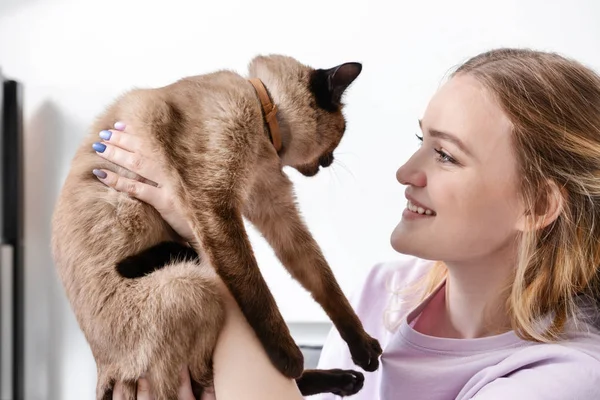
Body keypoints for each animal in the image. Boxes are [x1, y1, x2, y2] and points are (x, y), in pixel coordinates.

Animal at [50, 54, 380, 400]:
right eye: (341, 136)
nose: (329, 162)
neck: (264, 122)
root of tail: (104, 373)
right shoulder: (215, 204)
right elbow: (258, 291)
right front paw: (289, 357)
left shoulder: (278, 215)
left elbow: (325, 284)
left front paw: (364, 349)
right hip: (193, 287)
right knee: (206, 385)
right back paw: (328, 376)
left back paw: (347, 378)